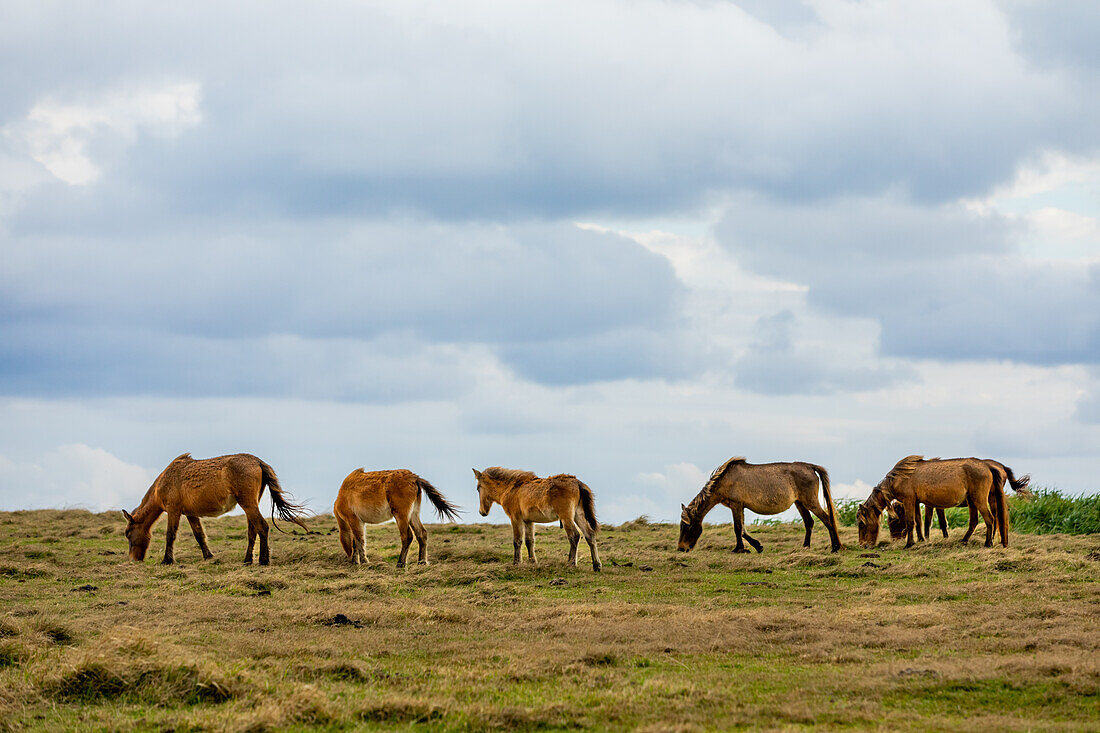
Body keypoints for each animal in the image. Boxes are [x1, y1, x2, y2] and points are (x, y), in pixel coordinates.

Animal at [330, 468, 459, 563]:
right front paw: (356, 561)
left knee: (407, 537)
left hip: (401, 516)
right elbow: (356, 542)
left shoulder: (354, 520)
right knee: (421, 534)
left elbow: (359, 540)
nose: (349, 558)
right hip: (413, 514)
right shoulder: (358, 522)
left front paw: (363, 561)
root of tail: (414, 477)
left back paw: (400, 563)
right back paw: (421, 562)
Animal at [468, 468, 598, 572]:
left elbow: (517, 541)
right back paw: (596, 566)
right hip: (578, 515)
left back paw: (571, 564)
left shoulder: (515, 518)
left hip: (566, 517)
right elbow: (529, 541)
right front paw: (532, 562)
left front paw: (516, 563)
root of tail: (577, 483)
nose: (482, 512)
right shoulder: (528, 521)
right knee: (589, 535)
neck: (512, 488)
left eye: (478, 488)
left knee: (575, 536)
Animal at [673, 453, 836, 550]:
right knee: (809, 522)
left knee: (827, 520)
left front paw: (739, 549)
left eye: (687, 526)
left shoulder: (736, 505)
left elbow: (737, 528)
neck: (725, 480)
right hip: (800, 503)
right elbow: (743, 530)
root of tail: (810, 467)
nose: (681, 548)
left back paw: (835, 547)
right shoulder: (740, 507)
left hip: (810, 502)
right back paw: (806, 546)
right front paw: (757, 546)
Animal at [858, 451, 1007, 548]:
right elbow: (919, 522)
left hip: (979, 500)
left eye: (861, 524)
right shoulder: (916, 502)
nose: (863, 545)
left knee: (990, 519)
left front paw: (909, 544)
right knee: (975, 521)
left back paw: (988, 543)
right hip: (972, 502)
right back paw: (964, 541)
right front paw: (921, 540)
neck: (900, 477)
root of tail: (987, 466)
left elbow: (911, 522)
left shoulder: (908, 501)